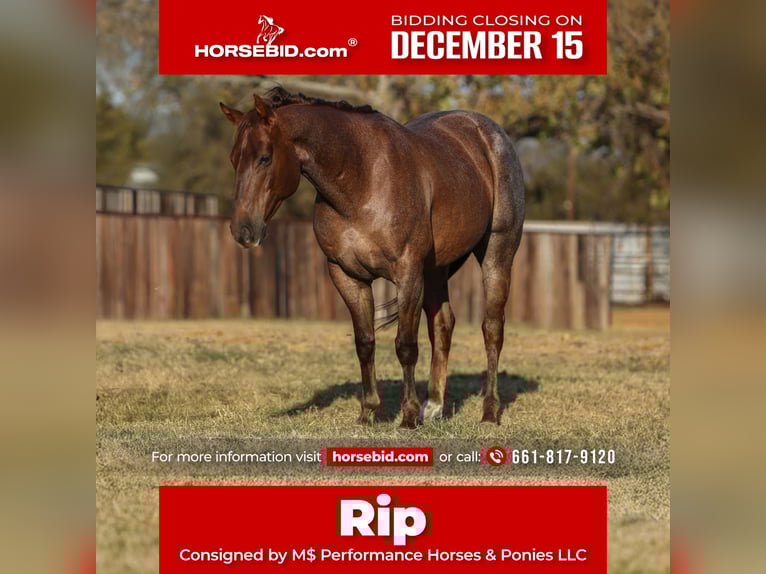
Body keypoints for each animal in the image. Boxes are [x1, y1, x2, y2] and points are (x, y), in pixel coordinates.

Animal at [220, 88, 525, 428]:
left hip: (496, 254)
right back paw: (433, 407)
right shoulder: (347, 275)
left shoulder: (407, 274)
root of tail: (487, 130)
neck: (362, 179)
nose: (243, 230)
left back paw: (488, 412)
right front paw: (368, 412)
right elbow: (365, 343)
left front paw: (407, 416)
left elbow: (405, 345)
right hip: (436, 269)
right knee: (443, 324)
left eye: (265, 157)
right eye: (233, 159)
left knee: (492, 329)